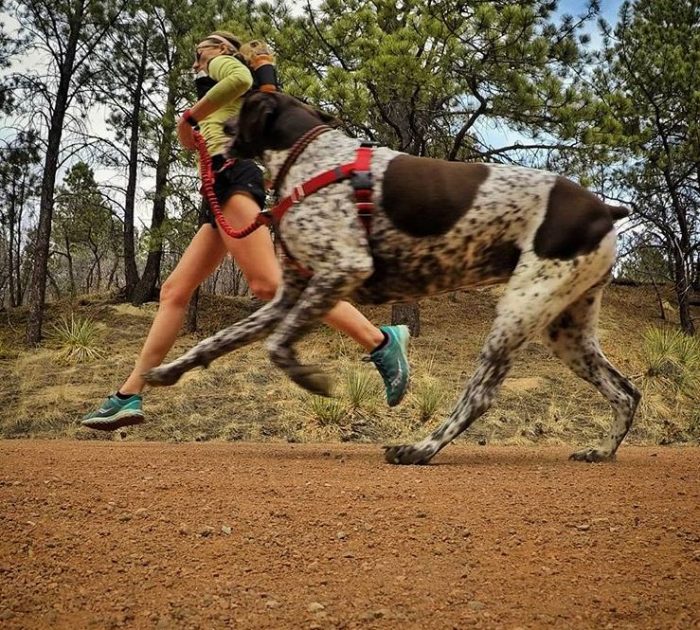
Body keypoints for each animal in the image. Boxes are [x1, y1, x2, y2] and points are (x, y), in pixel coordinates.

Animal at [146, 91, 640, 466]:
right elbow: (219, 339)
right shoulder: (290, 295)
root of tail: (604, 210)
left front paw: (311, 380)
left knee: (479, 397)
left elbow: (277, 347)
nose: (213, 129)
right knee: (626, 392)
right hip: (566, 330)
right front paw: (169, 369)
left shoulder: (342, 270)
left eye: (241, 109)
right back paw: (602, 451)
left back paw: (420, 449)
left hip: (517, 312)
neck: (310, 158)